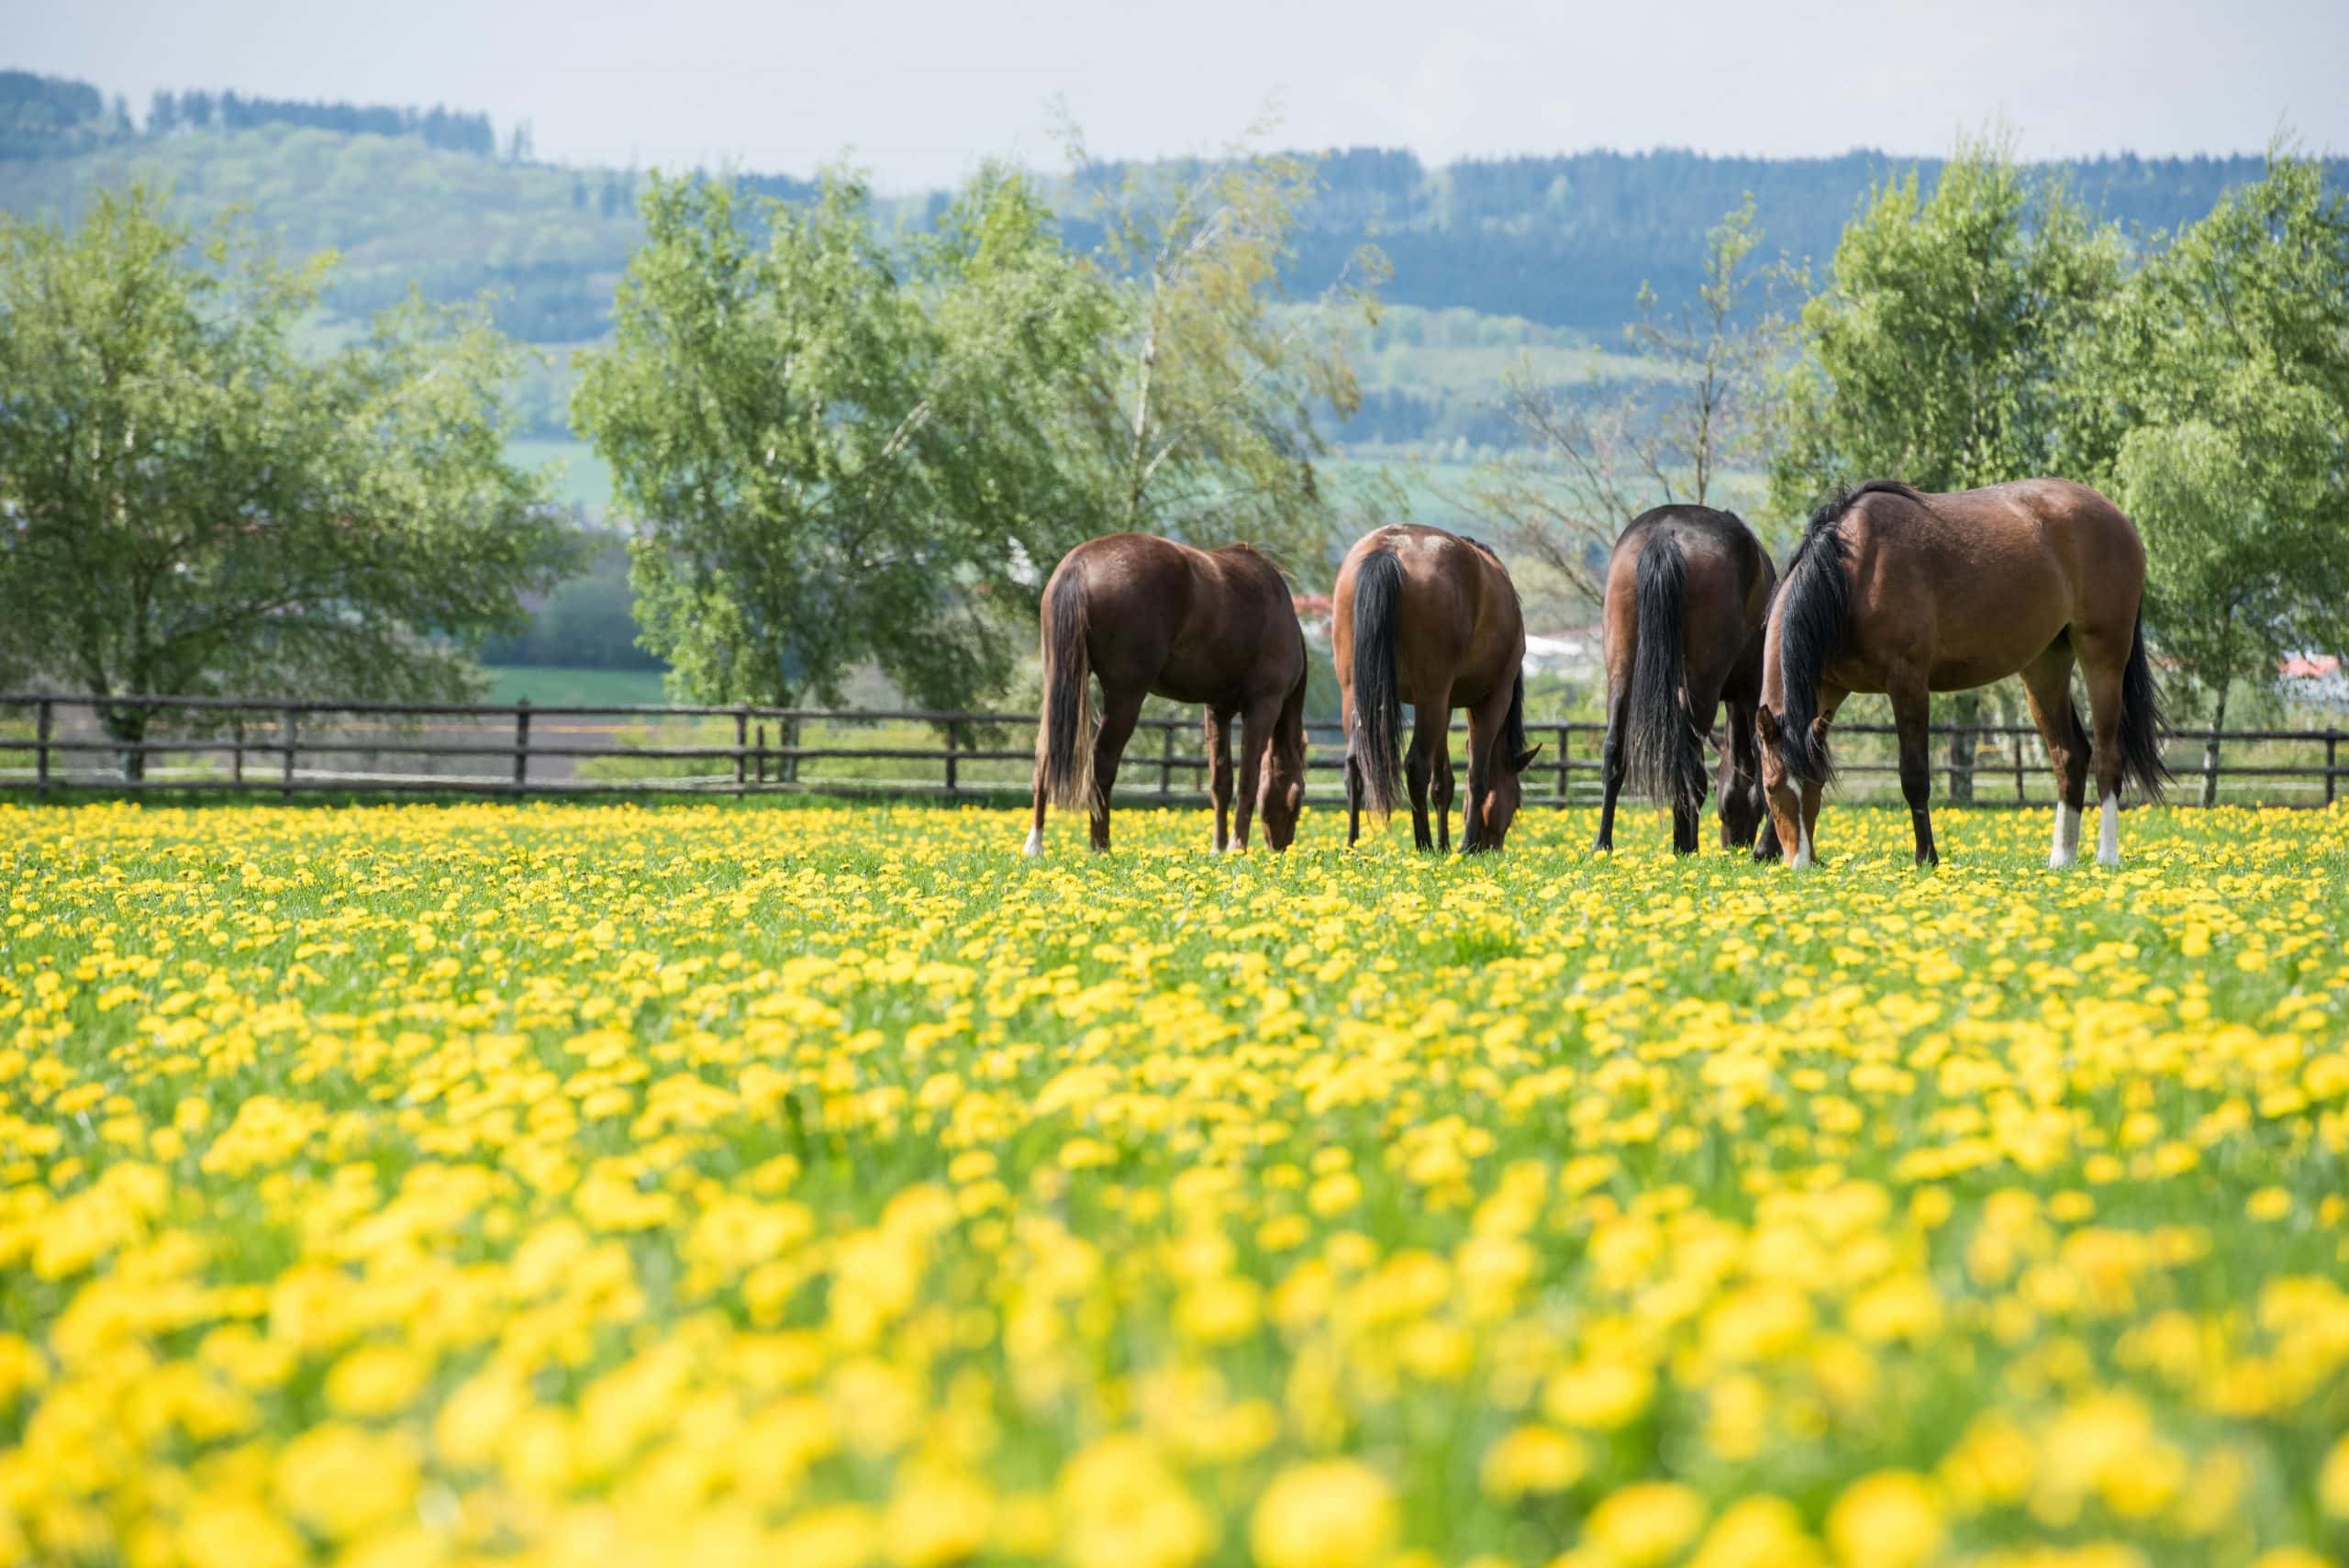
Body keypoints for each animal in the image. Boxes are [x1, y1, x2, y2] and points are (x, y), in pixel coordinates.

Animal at [1029, 535, 1324, 859]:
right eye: (1298, 799)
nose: (1282, 847)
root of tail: (1079, 563)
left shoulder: (1217, 710)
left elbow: (1220, 782)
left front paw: (1218, 848)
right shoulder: (1263, 707)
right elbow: (1248, 779)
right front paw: (1237, 847)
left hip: (1058, 686)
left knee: (1045, 756)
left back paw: (1035, 844)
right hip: (1126, 697)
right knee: (1103, 762)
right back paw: (1101, 846)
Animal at [1343, 526, 1541, 850]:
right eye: (1515, 803)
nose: (1492, 847)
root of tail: (1390, 547)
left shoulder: (1446, 706)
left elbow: (1444, 782)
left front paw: (1446, 845)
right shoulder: (1491, 701)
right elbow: (1477, 777)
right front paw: (1465, 846)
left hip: (1358, 695)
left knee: (1355, 766)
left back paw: (1352, 845)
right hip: (1431, 698)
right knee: (1416, 765)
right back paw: (1423, 844)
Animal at [1597, 505, 1776, 859]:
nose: (1734, 844)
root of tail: (1665, 534)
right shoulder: (1751, 691)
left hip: (1622, 667)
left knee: (1615, 750)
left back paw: (1604, 844)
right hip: (1702, 686)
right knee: (1690, 766)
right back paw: (1686, 845)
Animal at [1756, 478, 2170, 868]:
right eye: (1770, 787)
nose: (1800, 861)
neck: (1850, 576)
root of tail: (2117, 517)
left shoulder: (1907, 684)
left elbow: (1914, 776)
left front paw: (1927, 856)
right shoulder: (1828, 687)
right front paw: (1764, 849)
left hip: (2103, 657)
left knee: (2107, 755)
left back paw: (2106, 856)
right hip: (2044, 666)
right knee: (2069, 755)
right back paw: (2061, 858)